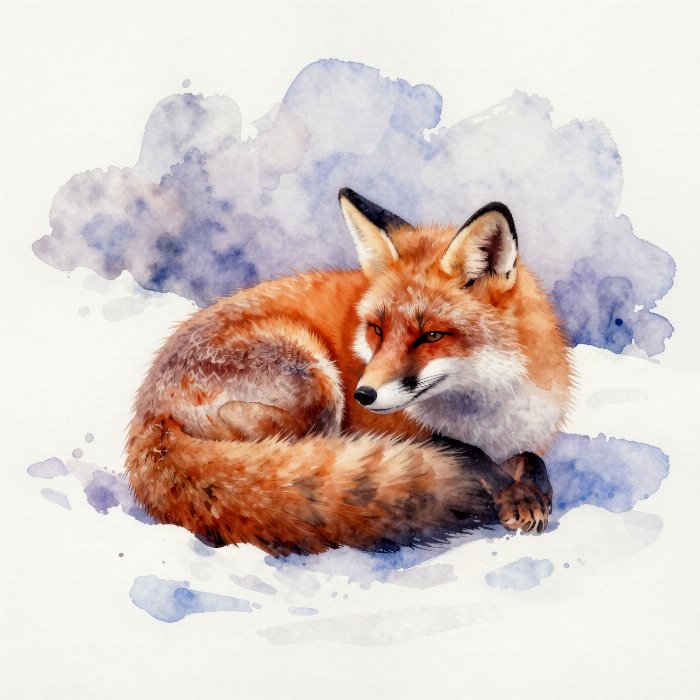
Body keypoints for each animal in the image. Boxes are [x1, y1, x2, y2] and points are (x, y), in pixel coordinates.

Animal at [126, 188, 572, 556]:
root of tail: (148, 414)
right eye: (377, 329)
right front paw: (513, 494)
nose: (364, 395)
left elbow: (532, 457)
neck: (488, 412)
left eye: (430, 335)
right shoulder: (410, 431)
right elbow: (467, 452)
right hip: (316, 383)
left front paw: (533, 488)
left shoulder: (524, 434)